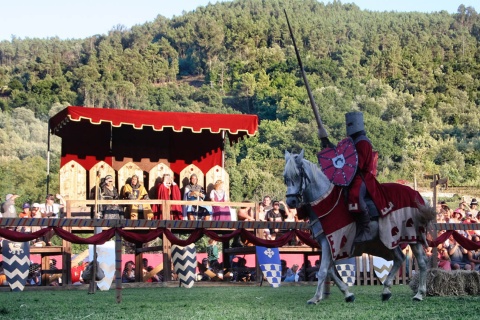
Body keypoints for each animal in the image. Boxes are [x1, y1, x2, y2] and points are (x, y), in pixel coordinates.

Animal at [284, 151, 436, 304]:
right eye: (285, 178)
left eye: (297, 175)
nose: (291, 201)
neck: (325, 202)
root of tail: (419, 196)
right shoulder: (329, 244)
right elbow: (330, 270)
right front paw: (347, 294)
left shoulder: (331, 242)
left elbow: (323, 271)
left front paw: (315, 298)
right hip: (389, 238)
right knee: (399, 258)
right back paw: (386, 290)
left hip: (412, 236)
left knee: (422, 262)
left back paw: (419, 294)